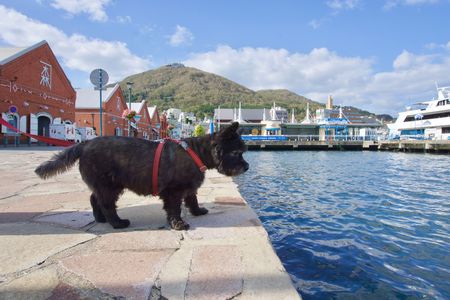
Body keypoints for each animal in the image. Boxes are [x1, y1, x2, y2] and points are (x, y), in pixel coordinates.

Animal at [33, 122, 248, 230]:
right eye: (237, 153)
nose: (246, 167)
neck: (196, 152)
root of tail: (85, 144)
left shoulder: (187, 188)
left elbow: (192, 199)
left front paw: (197, 211)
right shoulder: (173, 192)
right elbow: (175, 209)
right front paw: (178, 224)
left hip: (105, 185)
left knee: (94, 198)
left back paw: (101, 219)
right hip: (110, 186)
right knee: (106, 204)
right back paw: (117, 223)